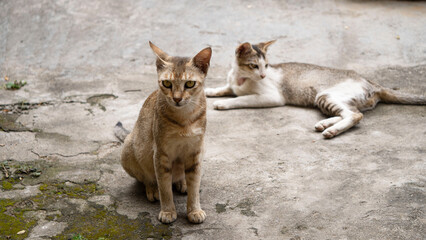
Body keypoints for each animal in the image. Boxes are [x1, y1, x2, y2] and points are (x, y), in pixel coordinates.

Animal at [119, 41, 212, 223]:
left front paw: (194, 210)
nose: (177, 98)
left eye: (189, 84)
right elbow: (165, 187)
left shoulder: (196, 152)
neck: (184, 120)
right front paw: (168, 211)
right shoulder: (161, 154)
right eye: (167, 83)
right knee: (145, 177)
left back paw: (182, 182)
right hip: (129, 150)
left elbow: (194, 186)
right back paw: (152, 188)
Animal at [205, 40, 424, 138]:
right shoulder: (232, 84)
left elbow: (241, 98)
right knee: (350, 112)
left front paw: (223, 103)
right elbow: (225, 88)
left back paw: (331, 130)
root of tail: (370, 81)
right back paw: (324, 124)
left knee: (354, 116)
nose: (263, 75)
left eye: (266, 66)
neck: (240, 78)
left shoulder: (271, 97)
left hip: (326, 94)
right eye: (254, 65)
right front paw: (210, 91)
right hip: (325, 98)